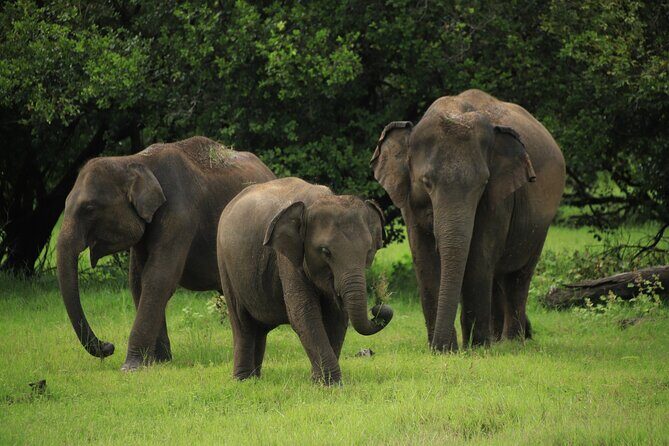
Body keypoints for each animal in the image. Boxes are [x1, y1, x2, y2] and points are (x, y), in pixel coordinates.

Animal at [56, 136, 275, 370]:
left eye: (89, 208)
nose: (109, 346)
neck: (132, 161)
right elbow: (138, 281)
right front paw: (158, 362)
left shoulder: (180, 216)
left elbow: (158, 277)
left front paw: (131, 368)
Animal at [216, 177, 393, 385]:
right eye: (325, 251)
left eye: (368, 251)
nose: (378, 309)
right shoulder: (287, 258)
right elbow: (304, 313)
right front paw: (331, 384)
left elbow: (337, 316)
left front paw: (319, 381)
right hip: (225, 264)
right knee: (241, 322)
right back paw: (243, 380)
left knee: (258, 328)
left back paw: (255, 378)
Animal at [371, 89, 565, 351]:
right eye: (426, 182)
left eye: (483, 184)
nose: (443, 346)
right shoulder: (409, 201)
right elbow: (423, 256)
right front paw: (442, 349)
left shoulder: (499, 199)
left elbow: (478, 256)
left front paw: (476, 348)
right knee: (498, 278)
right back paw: (498, 339)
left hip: (540, 225)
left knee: (517, 276)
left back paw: (510, 343)